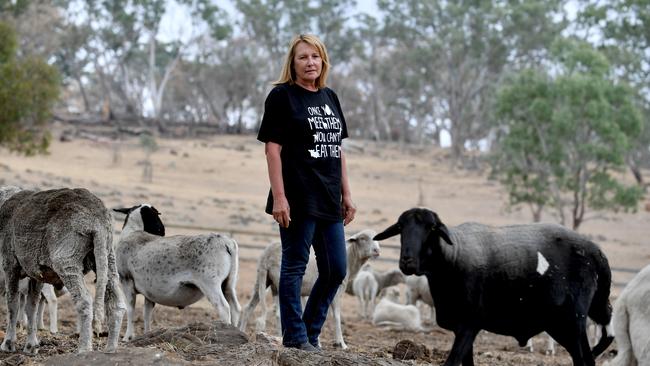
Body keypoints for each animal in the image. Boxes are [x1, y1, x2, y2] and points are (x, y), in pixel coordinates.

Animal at [114, 204, 240, 342]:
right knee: (235, 308)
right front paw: (147, 334)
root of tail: (226, 242)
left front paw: (127, 337)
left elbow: (130, 310)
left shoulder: (127, 281)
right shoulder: (149, 292)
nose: (162, 231)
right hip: (228, 283)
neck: (132, 232)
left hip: (210, 283)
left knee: (224, 308)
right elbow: (147, 313)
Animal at [238, 229, 380, 348]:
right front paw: (341, 343)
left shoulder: (308, 292)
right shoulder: (334, 292)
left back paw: (242, 332)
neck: (350, 262)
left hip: (262, 281)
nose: (377, 250)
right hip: (278, 281)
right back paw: (280, 337)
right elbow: (335, 316)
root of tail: (266, 255)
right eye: (363, 238)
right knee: (278, 313)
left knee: (248, 308)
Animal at [374, 209, 612, 366]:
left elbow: (452, 363)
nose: (407, 261)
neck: (453, 259)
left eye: (431, 228)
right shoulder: (461, 327)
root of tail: (596, 252)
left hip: (572, 321)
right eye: (400, 227)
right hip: (571, 321)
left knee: (586, 357)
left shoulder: (469, 324)